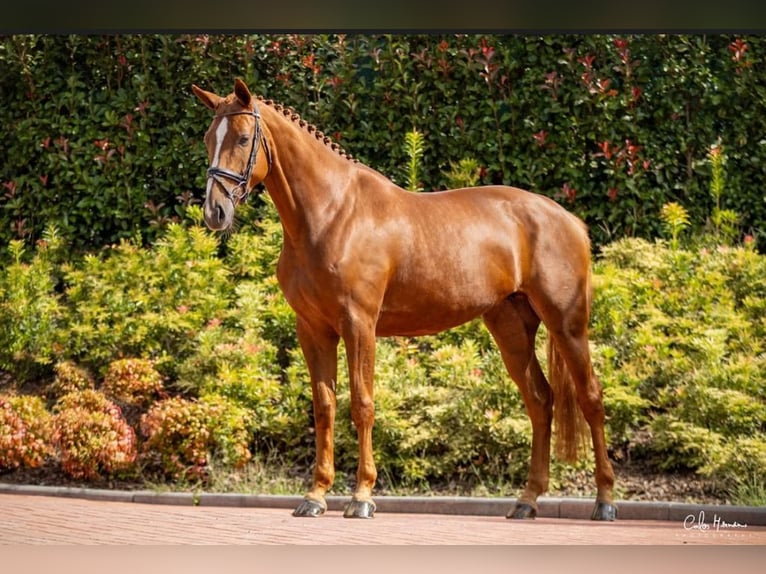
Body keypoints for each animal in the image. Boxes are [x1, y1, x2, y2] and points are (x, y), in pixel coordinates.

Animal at [192, 79, 616, 524]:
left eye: (243, 138)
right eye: (208, 138)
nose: (215, 212)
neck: (331, 214)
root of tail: (569, 220)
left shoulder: (359, 324)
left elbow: (362, 403)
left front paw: (362, 497)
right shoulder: (312, 329)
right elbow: (324, 407)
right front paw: (315, 496)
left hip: (567, 324)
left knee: (590, 398)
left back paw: (604, 500)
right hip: (511, 327)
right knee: (540, 401)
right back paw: (527, 500)